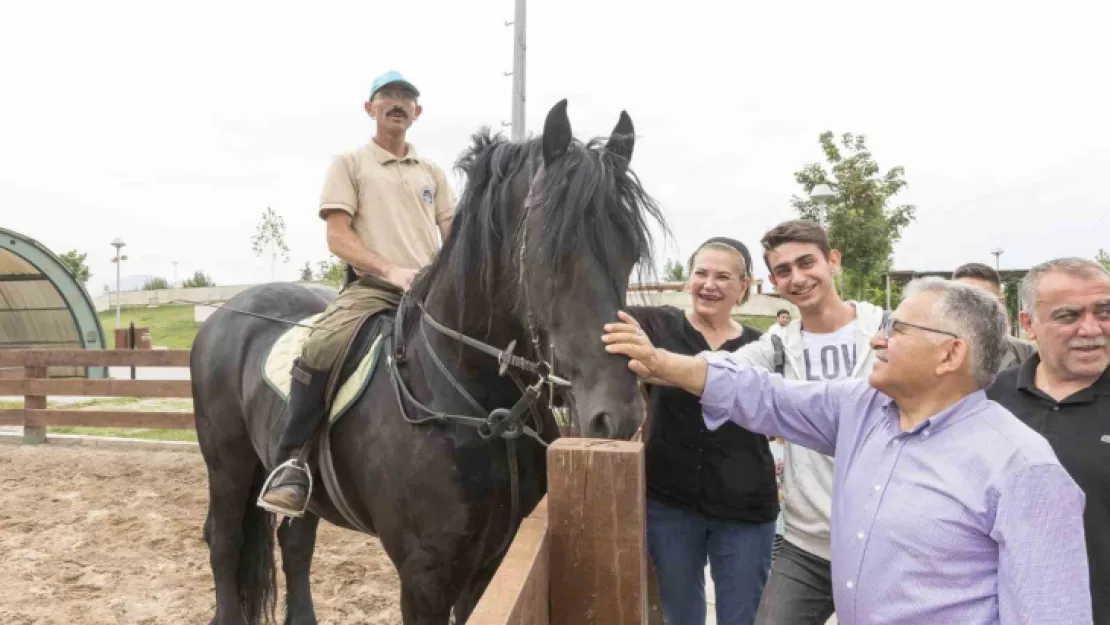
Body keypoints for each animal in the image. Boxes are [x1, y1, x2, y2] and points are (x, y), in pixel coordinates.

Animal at [188, 101, 666, 625]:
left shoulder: (492, 565)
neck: (479, 402)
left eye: (630, 250)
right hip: (228, 463)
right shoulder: (425, 578)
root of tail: (228, 312)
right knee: (224, 540)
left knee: (294, 545)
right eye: (551, 252)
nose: (618, 415)